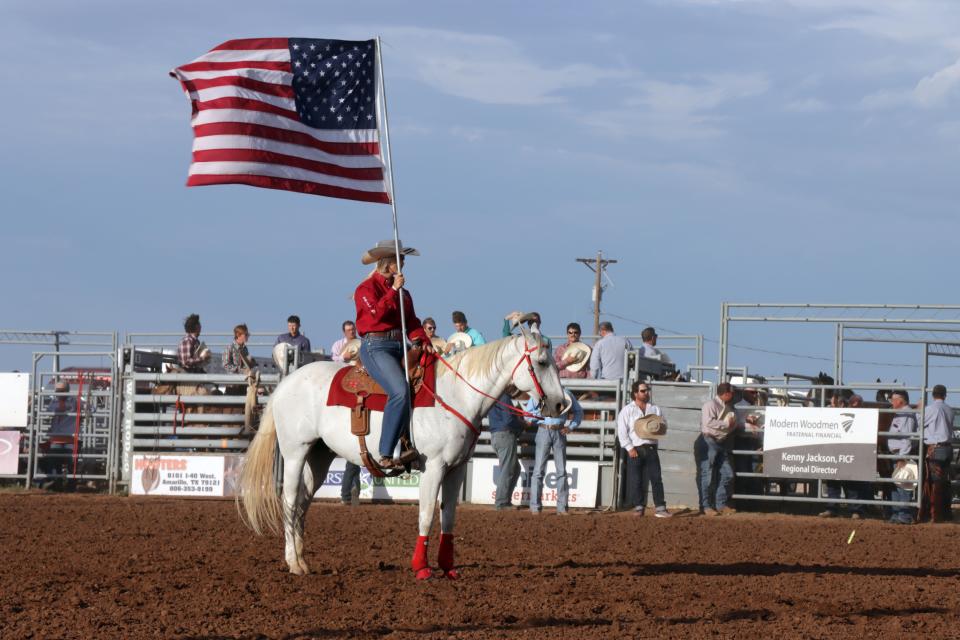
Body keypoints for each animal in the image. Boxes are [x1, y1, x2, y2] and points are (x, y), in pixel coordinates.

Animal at [237, 320, 568, 580]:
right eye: (541, 362)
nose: (560, 405)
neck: (455, 395)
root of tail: (286, 382)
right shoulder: (434, 466)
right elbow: (427, 515)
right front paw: (421, 567)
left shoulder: (457, 469)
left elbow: (449, 517)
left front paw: (448, 567)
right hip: (295, 452)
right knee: (290, 501)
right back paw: (293, 563)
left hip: (319, 456)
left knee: (303, 502)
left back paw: (303, 560)